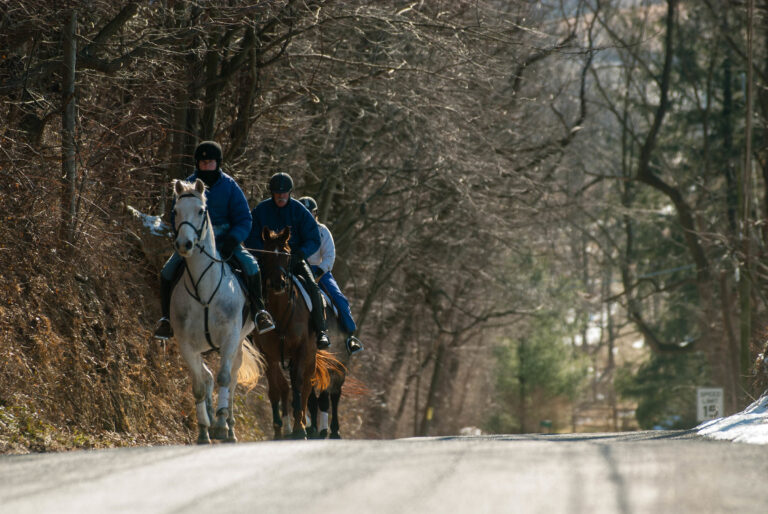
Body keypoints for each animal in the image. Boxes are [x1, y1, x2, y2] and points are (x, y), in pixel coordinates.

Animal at [169, 178, 263, 444]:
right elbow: (199, 386)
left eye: (201, 210)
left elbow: (224, 378)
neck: (204, 289)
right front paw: (203, 430)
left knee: (231, 379)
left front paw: (221, 425)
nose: (184, 244)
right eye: (175, 211)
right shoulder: (187, 345)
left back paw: (228, 428)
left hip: (238, 343)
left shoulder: (230, 338)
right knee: (208, 376)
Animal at [252, 227, 334, 439]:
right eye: (266, 254)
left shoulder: (302, 350)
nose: (278, 284)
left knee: (306, 387)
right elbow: (274, 389)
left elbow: (298, 384)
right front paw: (278, 430)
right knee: (285, 387)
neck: (281, 311)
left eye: (287, 254)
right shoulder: (269, 355)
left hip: (311, 356)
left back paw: (305, 424)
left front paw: (299, 428)